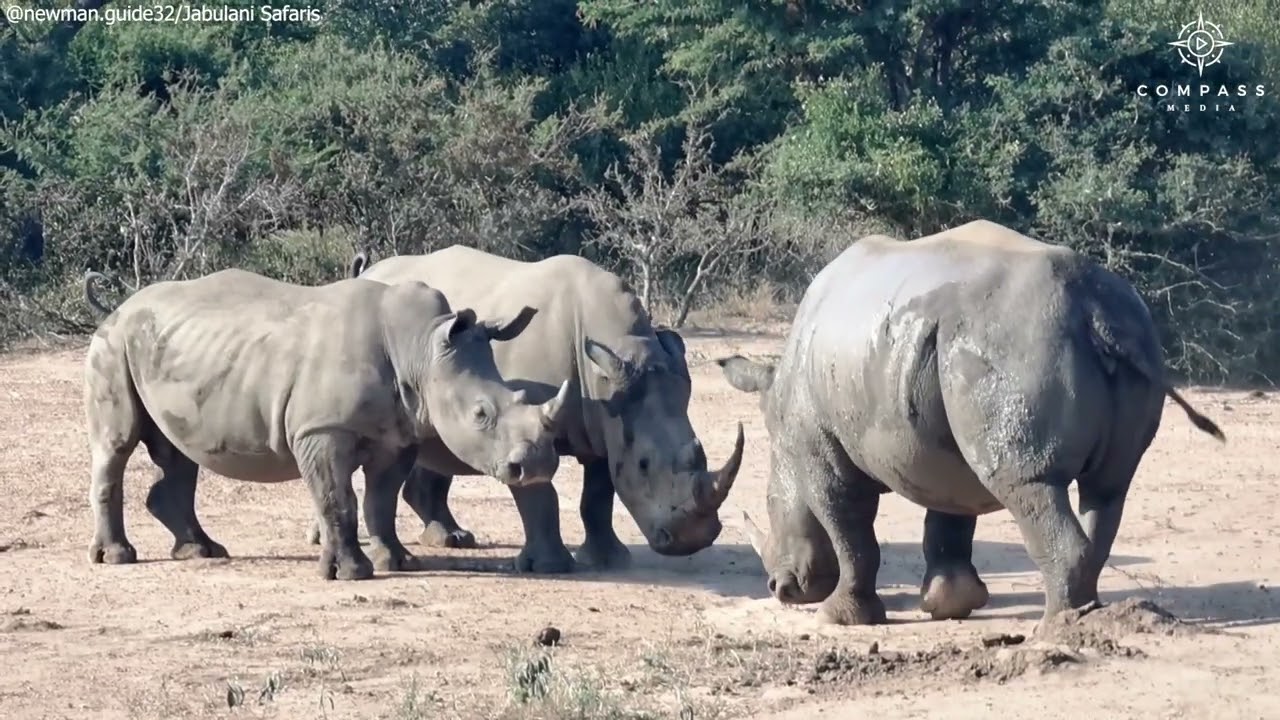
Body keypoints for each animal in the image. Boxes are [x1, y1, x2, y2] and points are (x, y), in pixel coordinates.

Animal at [82, 268, 571, 580]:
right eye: (481, 414)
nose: (537, 467)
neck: (419, 348)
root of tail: (118, 306)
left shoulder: (399, 435)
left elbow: (380, 501)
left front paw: (399, 563)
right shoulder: (321, 431)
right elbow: (338, 500)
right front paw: (350, 573)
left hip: (168, 348)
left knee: (178, 453)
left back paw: (201, 551)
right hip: (112, 344)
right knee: (117, 444)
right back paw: (118, 558)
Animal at [307, 245, 745, 573]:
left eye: (701, 453)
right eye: (644, 465)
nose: (692, 541)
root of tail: (367, 271)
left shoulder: (607, 424)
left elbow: (598, 493)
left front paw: (609, 560)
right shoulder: (529, 425)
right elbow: (538, 492)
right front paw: (552, 567)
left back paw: (454, 539)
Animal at [718, 220, 1225, 627]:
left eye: (768, 504)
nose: (781, 589)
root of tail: (1092, 309)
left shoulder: (821, 449)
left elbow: (851, 529)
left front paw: (840, 618)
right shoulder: (939, 435)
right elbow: (948, 515)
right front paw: (951, 604)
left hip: (1016, 344)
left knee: (1030, 484)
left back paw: (1054, 631)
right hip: (1113, 335)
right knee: (1108, 489)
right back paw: (1088, 617)